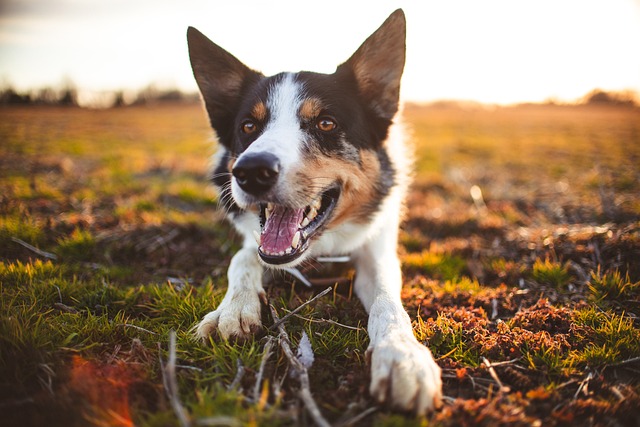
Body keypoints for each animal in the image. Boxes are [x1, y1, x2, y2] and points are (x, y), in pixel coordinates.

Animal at [188, 8, 442, 412]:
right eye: (249, 126)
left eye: (326, 123)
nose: (251, 171)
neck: (322, 247)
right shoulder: (256, 243)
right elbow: (242, 259)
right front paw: (232, 309)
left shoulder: (376, 248)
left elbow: (387, 295)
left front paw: (403, 357)